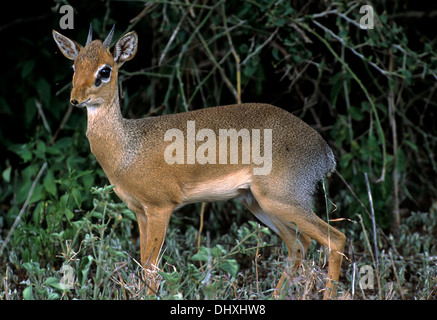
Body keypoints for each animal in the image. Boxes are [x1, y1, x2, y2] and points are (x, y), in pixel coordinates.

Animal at [52, 25, 344, 300]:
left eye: (105, 70)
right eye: (74, 65)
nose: (76, 99)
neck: (128, 148)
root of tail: (324, 152)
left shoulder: (160, 208)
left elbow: (151, 269)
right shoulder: (139, 211)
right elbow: (144, 265)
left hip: (282, 201)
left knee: (335, 240)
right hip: (259, 203)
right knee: (299, 245)